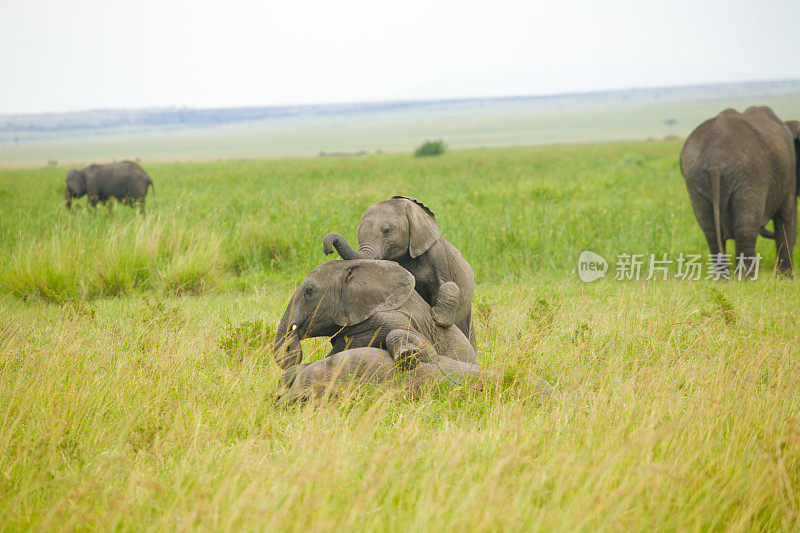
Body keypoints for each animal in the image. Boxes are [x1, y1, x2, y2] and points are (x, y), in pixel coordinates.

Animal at [680, 106, 800, 276]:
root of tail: (715, 162)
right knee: (746, 227)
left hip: (695, 179)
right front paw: (786, 278)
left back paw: (722, 278)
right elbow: (786, 217)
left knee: (711, 231)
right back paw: (747, 278)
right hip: (749, 177)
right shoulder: (789, 174)